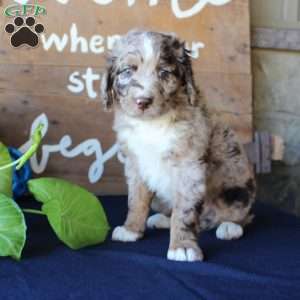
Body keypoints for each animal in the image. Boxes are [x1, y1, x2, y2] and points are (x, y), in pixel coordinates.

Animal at [101, 29, 255, 262]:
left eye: (164, 72)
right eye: (127, 71)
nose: (142, 101)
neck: (152, 123)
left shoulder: (188, 166)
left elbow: (184, 211)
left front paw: (182, 246)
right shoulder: (135, 164)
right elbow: (136, 199)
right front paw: (131, 229)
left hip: (237, 185)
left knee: (241, 214)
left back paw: (229, 227)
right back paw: (161, 220)